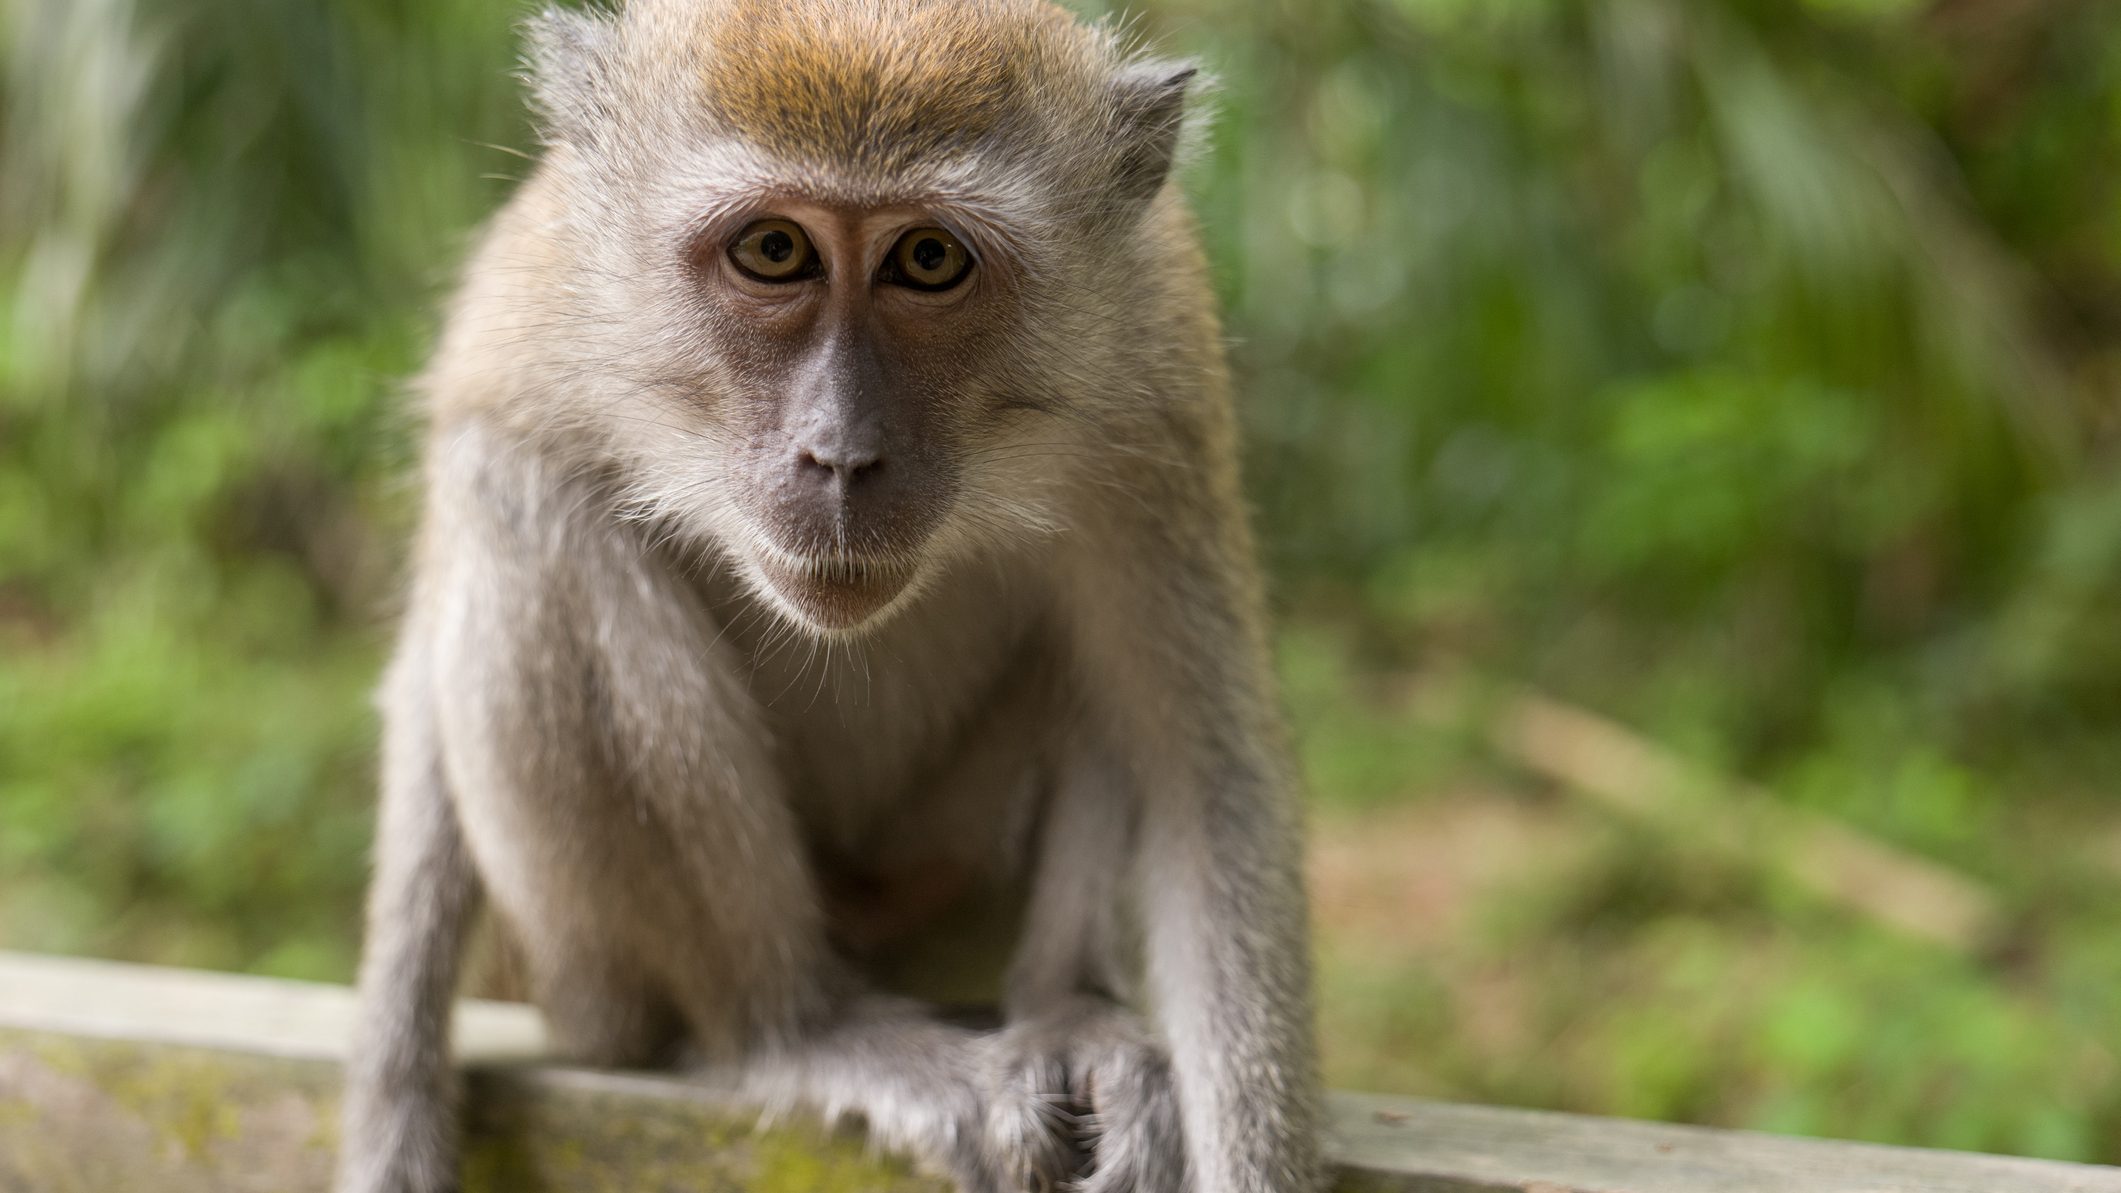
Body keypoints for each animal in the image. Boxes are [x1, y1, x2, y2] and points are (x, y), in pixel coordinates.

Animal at [335, 0, 1323, 1180]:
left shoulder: (1157, 386)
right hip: (585, 972)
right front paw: (393, 1088)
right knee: (522, 502)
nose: (841, 456)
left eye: (929, 259)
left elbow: (1200, 774)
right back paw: (798, 1029)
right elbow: (427, 684)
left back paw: (1061, 1005)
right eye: (774, 250)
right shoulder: (527, 317)